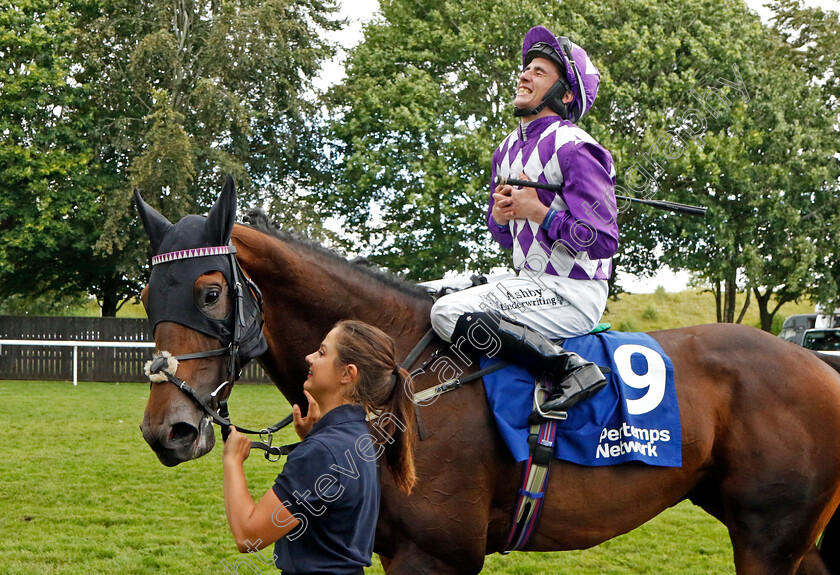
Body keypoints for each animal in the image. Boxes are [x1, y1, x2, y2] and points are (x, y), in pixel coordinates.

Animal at [138, 181, 840, 575]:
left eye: (208, 293)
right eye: (146, 297)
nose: (165, 432)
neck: (405, 373)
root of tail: (820, 367)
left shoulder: (435, 557)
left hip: (769, 540)